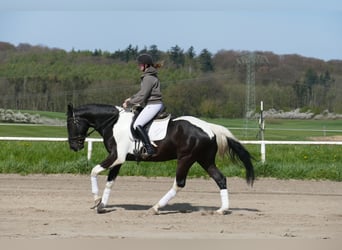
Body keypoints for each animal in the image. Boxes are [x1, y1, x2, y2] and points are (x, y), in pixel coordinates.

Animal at [66, 103, 254, 215]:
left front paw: (96, 200)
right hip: (204, 160)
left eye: (71, 124)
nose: (74, 146)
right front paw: (102, 205)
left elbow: (93, 171)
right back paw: (222, 209)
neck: (113, 123)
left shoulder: (116, 156)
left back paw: (155, 207)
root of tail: (209, 127)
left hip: (186, 159)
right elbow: (110, 182)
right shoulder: (119, 159)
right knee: (220, 179)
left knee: (179, 183)